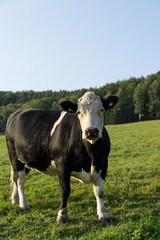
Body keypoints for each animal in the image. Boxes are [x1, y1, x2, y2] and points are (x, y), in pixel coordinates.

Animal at [5, 91, 118, 224]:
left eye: (101, 110)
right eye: (78, 112)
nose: (91, 131)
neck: (91, 155)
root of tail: (16, 113)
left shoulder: (103, 164)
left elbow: (99, 191)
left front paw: (103, 214)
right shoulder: (62, 165)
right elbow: (65, 190)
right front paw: (62, 215)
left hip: (27, 160)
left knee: (15, 178)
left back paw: (15, 199)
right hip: (15, 157)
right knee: (20, 180)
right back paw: (23, 204)